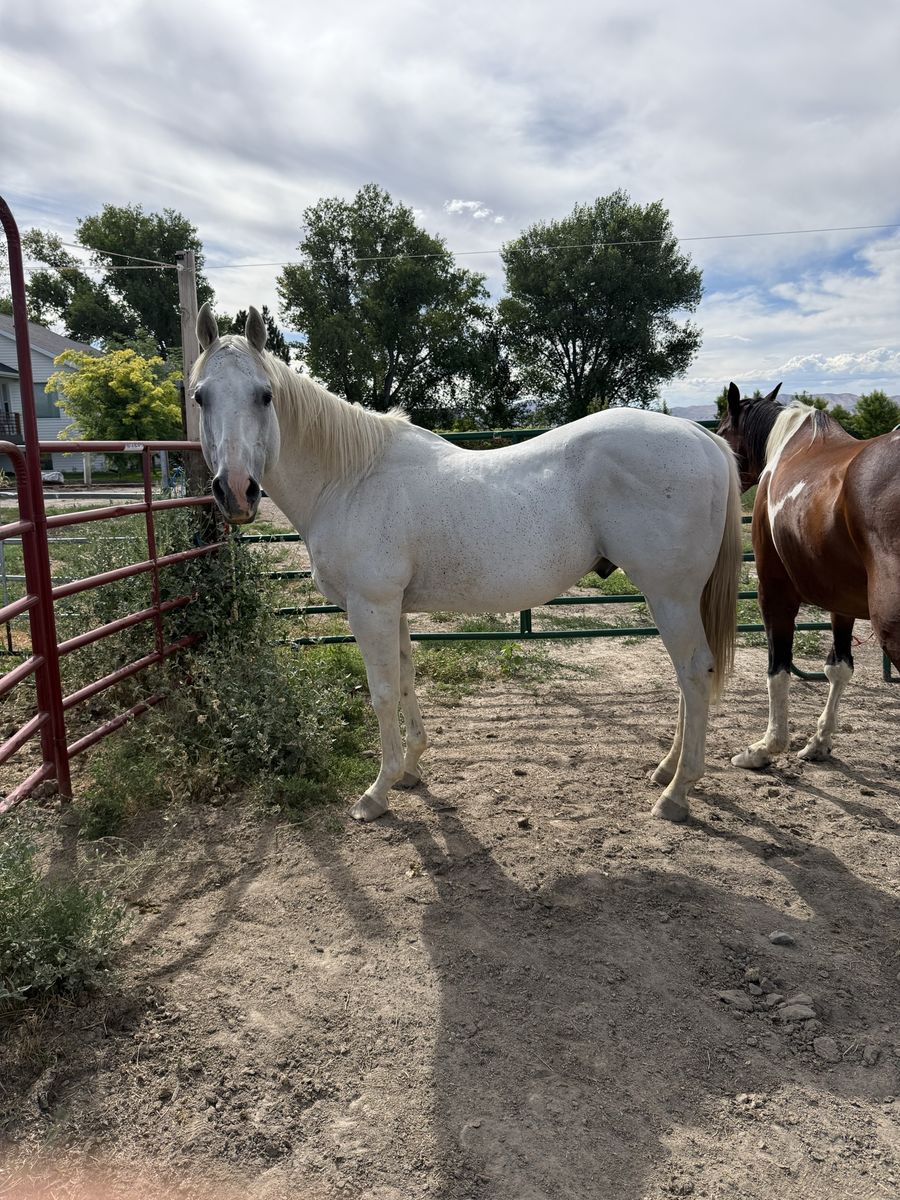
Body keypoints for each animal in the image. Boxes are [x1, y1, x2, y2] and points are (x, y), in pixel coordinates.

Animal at [192, 304, 742, 823]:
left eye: (265, 395)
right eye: (200, 396)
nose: (236, 491)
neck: (350, 480)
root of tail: (702, 438)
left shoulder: (369, 608)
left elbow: (382, 692)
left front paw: (377, 793)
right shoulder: (393, 609)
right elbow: (406, 680)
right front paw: (410, 771)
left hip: (669, 594)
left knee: (694, 672)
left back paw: (676, 793)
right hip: (673, 598)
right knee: (686, 676)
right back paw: (666, 770)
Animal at [718, 383, 900, 769]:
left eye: (723, 431)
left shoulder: (774, 592)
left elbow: (778, 669)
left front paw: (765, 748)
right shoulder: (842, 601)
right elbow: (839, 667)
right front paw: (819, 743)